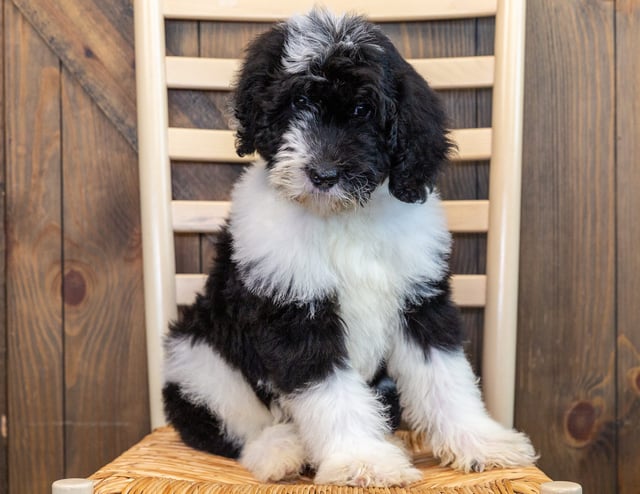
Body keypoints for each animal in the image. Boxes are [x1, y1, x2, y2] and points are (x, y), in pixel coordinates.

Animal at [164, 7, 536, 486]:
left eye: (362, 110)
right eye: (297, 104)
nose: (323, 174)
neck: (343, 217)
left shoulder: (420, 302)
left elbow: (445, 375)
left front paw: (479, 441)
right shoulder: (295, 310)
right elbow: (329, 391)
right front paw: (363, 460)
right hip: (197, 357)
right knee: (232, 426)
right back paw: (281, 450)